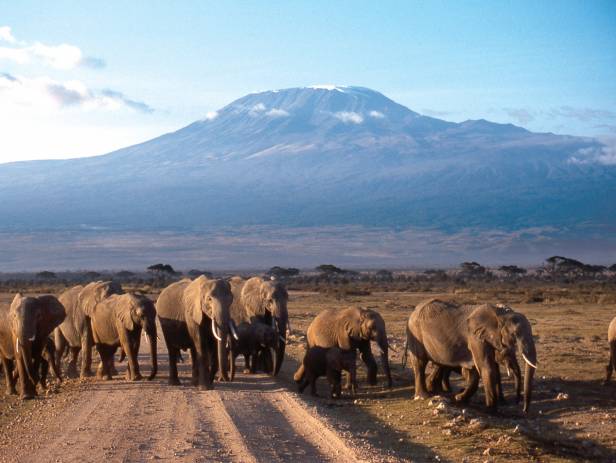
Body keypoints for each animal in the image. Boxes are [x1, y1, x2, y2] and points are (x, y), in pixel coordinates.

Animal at [404, 300, 536, 416]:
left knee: (439, 364)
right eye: (514, 335)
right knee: (420, 363)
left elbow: (475, 371)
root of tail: (413, 311)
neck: (500, 314)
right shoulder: (475, 337)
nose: (523, 409)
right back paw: (423, 396)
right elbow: (486, 368)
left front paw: (459, 397)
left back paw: (438, 392)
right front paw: (491, 411)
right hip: (414, 333)